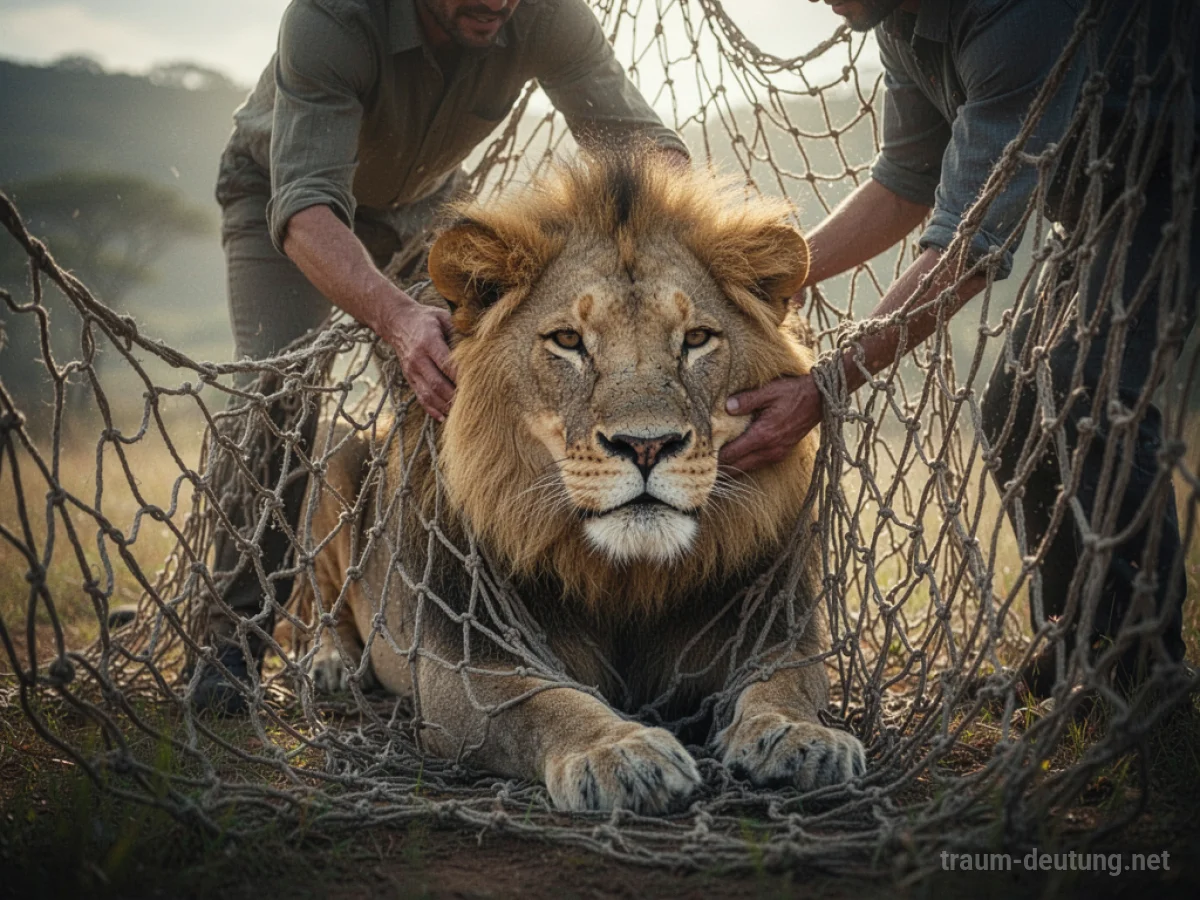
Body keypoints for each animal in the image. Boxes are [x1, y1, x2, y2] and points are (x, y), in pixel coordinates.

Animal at [288, 153, 866, 813]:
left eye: (696, 339)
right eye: (568, 341)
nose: (646, 445)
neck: (626, 577)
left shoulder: (775, 630)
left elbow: (785, 683)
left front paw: (804, 738)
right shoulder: (465, 669)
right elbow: (547, 705)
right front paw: (620, 753)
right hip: (332, 455)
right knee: (316, 603)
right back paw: (330, 665)